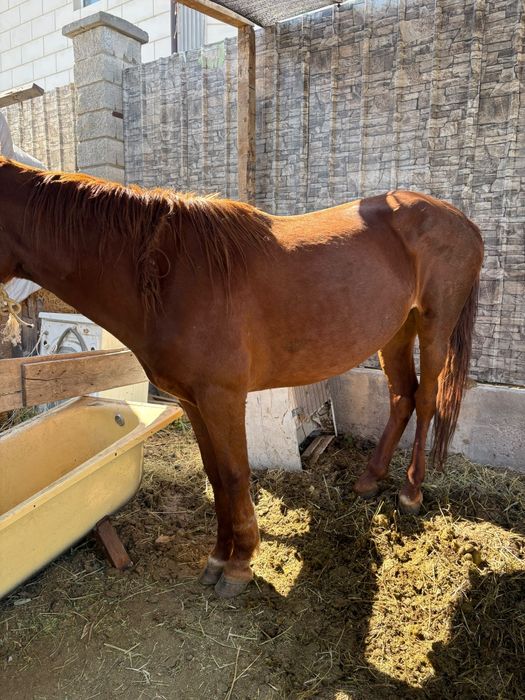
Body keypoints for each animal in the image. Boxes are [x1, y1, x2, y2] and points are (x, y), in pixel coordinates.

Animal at [0, 157, 483, 598]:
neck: (169, 276)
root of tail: (462, 221)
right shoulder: (192, 401)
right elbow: (215, 476)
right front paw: (217, 556)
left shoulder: (223, 397)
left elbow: (235, 475)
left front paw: (240, 563)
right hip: (395, 331)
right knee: (402, 396)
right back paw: (370, 479)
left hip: (433, 328)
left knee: (425, 400)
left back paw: (410, 492)